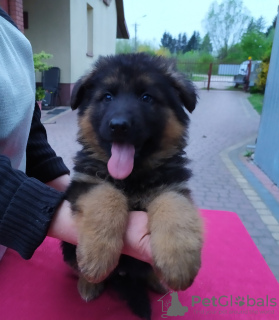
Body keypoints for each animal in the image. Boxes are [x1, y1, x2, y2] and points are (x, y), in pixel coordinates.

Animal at [63, 53, 203, 318]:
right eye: (107, 97)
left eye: (146, 97)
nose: (119, 125)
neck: (132, 177)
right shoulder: (85, 183)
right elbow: (107, 195)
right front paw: (98, 254)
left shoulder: (174, 186)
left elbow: (173, 206)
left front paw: (178, 259)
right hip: (67, 247)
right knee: (77, 267)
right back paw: (89, 283)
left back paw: (157, 282)